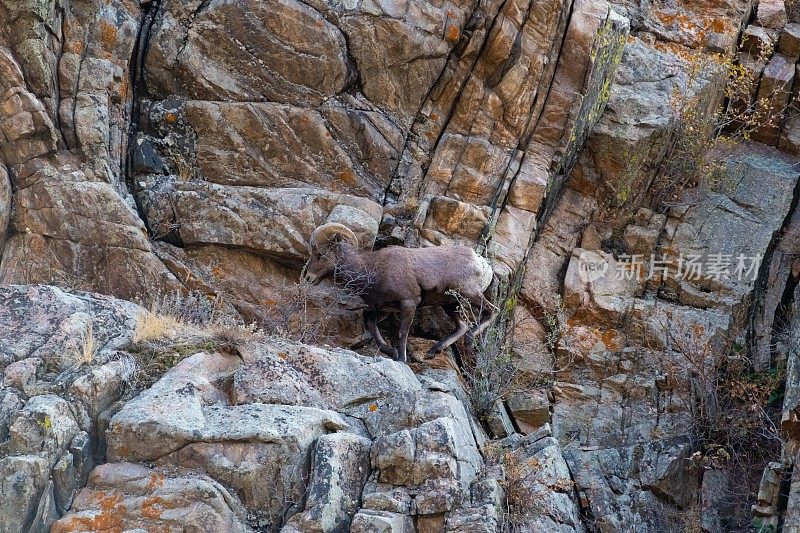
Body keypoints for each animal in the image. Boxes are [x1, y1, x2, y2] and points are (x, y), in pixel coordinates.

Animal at [304, 222, 496, 364]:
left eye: (320, 254)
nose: (308, 277)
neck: (372, 270)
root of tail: (482, 262)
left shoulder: (409, 302)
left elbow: (402, 332)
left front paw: (401, 360)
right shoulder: (385, 308)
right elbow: (371, 323)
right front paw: (391, 351)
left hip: (468, 293)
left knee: (492, 311)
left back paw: (469, 341)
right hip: (449, 303)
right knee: (462, 326)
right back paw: (432, 352)